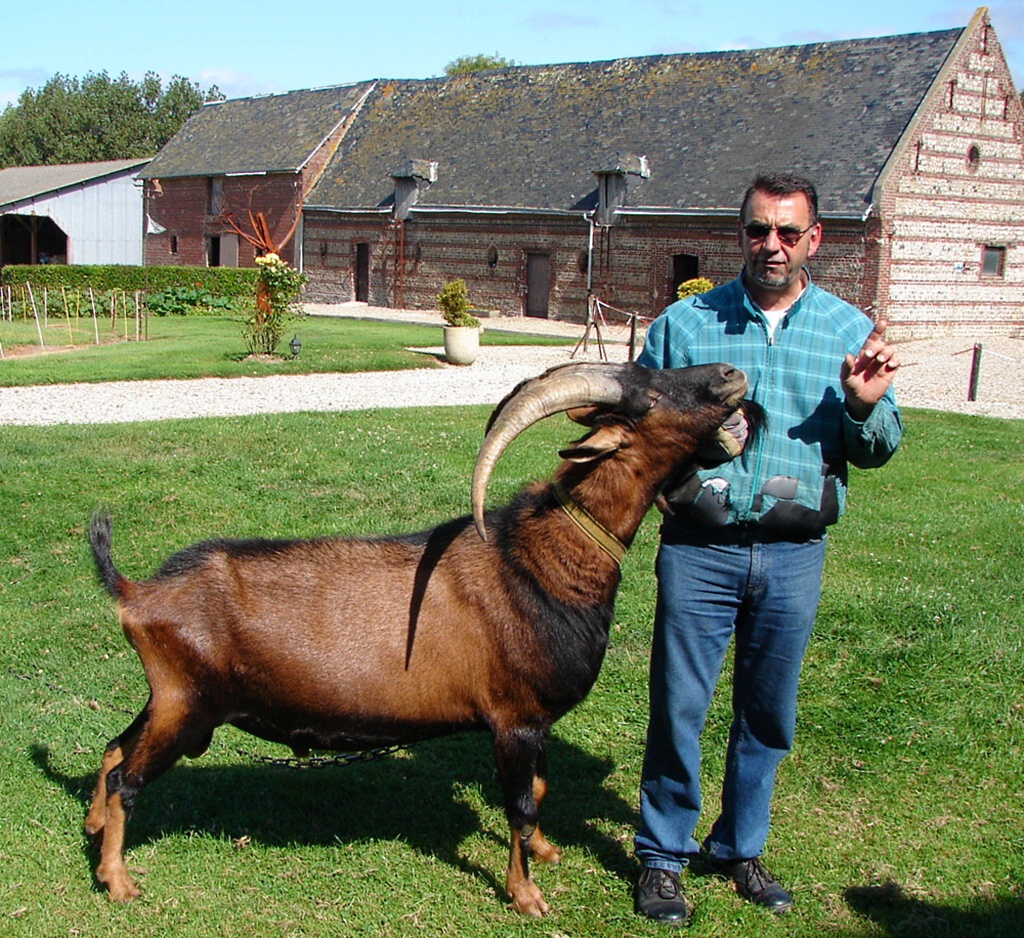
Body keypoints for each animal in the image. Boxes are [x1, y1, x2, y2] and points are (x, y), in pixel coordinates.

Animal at [86, 358, 753, 917]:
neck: (538, 561)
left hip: (171, 700)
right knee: (127, 779)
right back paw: (118, 880)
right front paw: (526, 896)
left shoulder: (534, 721)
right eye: (654, 394)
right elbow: (520, 803)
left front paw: (544, 852)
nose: (730, 373)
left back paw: (93, 829)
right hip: (188, 706)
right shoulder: (513, 719)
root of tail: (136, 593)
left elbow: (539, 787)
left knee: (114, 748)